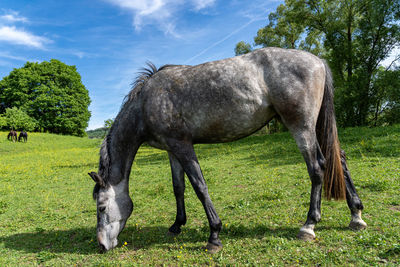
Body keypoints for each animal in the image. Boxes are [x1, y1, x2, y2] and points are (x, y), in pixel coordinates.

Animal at [89, 47, 368, 254]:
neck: (147, 102)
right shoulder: (172, 149)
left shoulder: (183, 146)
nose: (101, 246)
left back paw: (309, 225)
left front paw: (214, 235)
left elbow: (200, 187)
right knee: (339, 159)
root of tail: (317, 60)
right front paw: (177, 225)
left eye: (101, 207)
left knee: (317, 168)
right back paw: (356, 215)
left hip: (301, 127)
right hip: (317, 126)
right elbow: (178, 187)